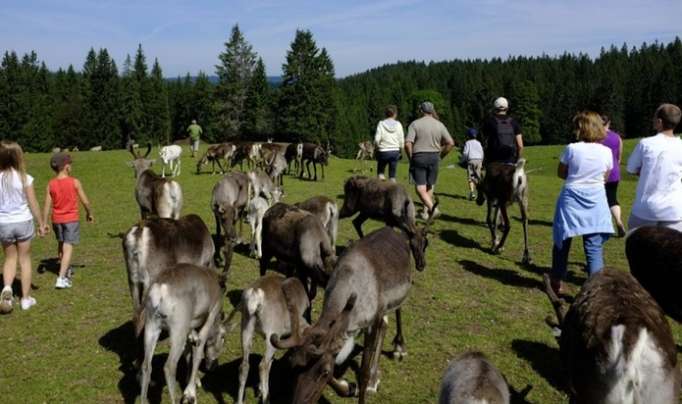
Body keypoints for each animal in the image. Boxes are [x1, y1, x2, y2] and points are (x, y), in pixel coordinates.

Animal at [137, 263, 226, 404]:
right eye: (223, 337)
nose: (213, 366)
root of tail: (161, 289)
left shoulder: (189, 331)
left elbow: (189, 352)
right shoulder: (210, 317)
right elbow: (197, 352)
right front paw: (190, 393)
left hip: (152, 327)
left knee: (146, 365)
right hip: (177, 332)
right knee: (169, 367)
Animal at [224, 274, 310, 404]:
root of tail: (255, 295)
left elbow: (271, 362)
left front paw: (260, 388)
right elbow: (268, 364)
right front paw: (262, 390)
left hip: (246, 328)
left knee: (244, 366)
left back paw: (240, 401)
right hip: (271, 335)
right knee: (262, 365)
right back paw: (266, 397)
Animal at [270, 222, 432, 404]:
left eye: (324, 372)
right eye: (292, 365)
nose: (298, 402)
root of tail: (395, 232)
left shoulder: (371, 321)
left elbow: (364, 372)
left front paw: (362, 385)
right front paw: (348, 387)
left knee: (397, 311)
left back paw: (399, 347)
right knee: (384, 324)